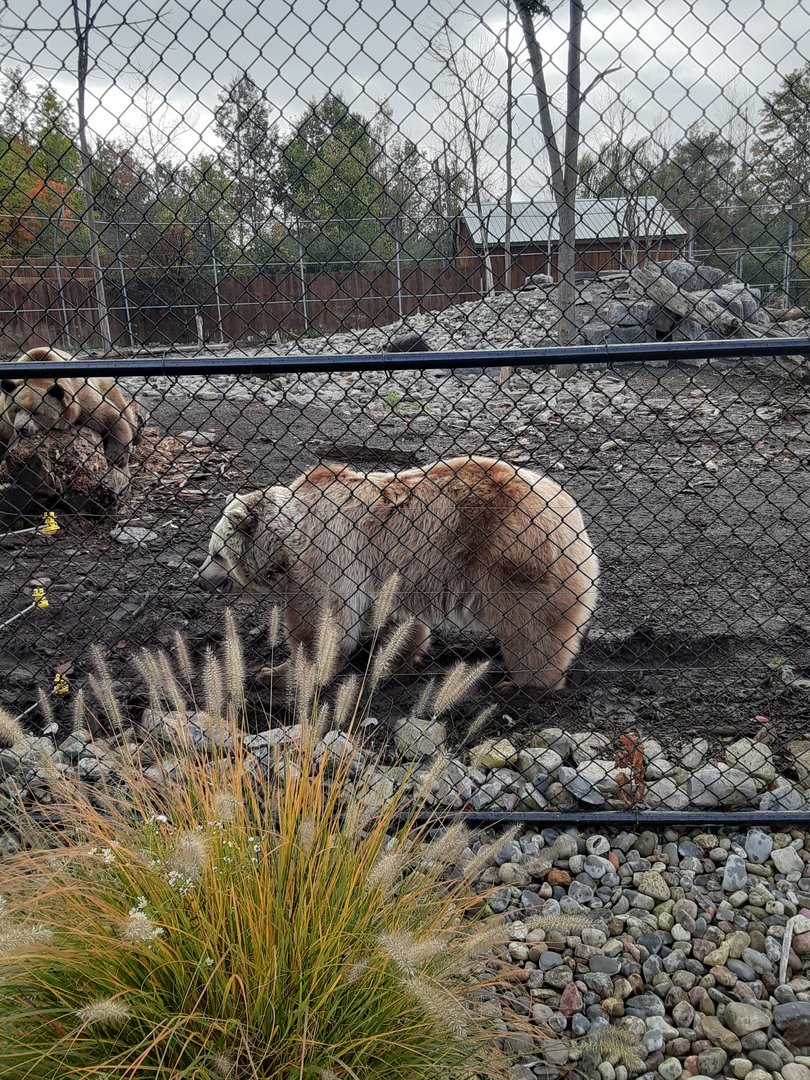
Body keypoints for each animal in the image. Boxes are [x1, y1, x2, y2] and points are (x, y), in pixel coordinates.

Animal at [198, 455, 599, 693]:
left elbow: (321, 622)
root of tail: (569, 509)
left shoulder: (327, 552)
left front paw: (281, 673)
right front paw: (397, 663)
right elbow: (397, 620)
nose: (198, 575)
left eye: (216, 552)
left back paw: (527, 682)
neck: (287, 536)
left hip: (513, 555)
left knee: (530, 625)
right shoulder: (387, 571)